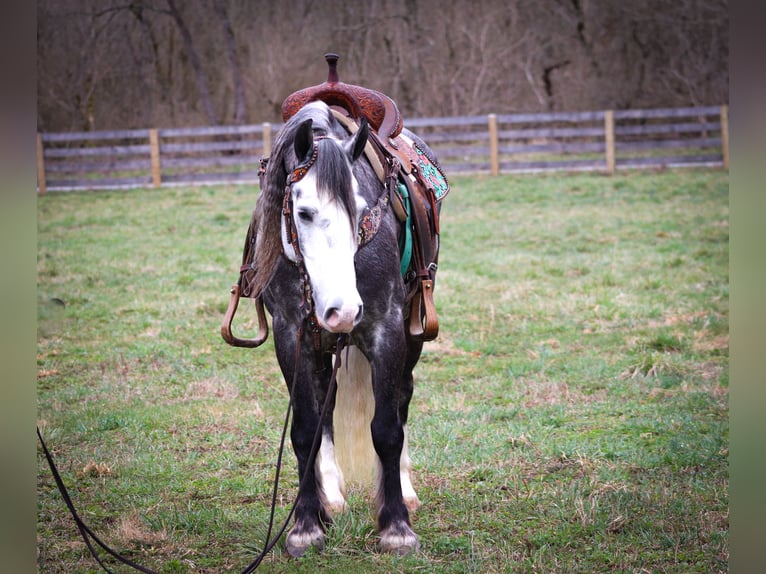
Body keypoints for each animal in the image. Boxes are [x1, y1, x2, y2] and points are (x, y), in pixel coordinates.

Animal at [246, 99, 448, 560]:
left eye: (359, 211)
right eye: (304, 213)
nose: (343, 311)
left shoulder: (385, 329)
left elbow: (387, 429)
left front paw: (396, 528)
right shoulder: (291, 336)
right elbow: (305, 429)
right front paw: (306, 526)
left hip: (409, 336)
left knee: (402, 400)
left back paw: (404, 491)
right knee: (327, 407)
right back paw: (332, 498)